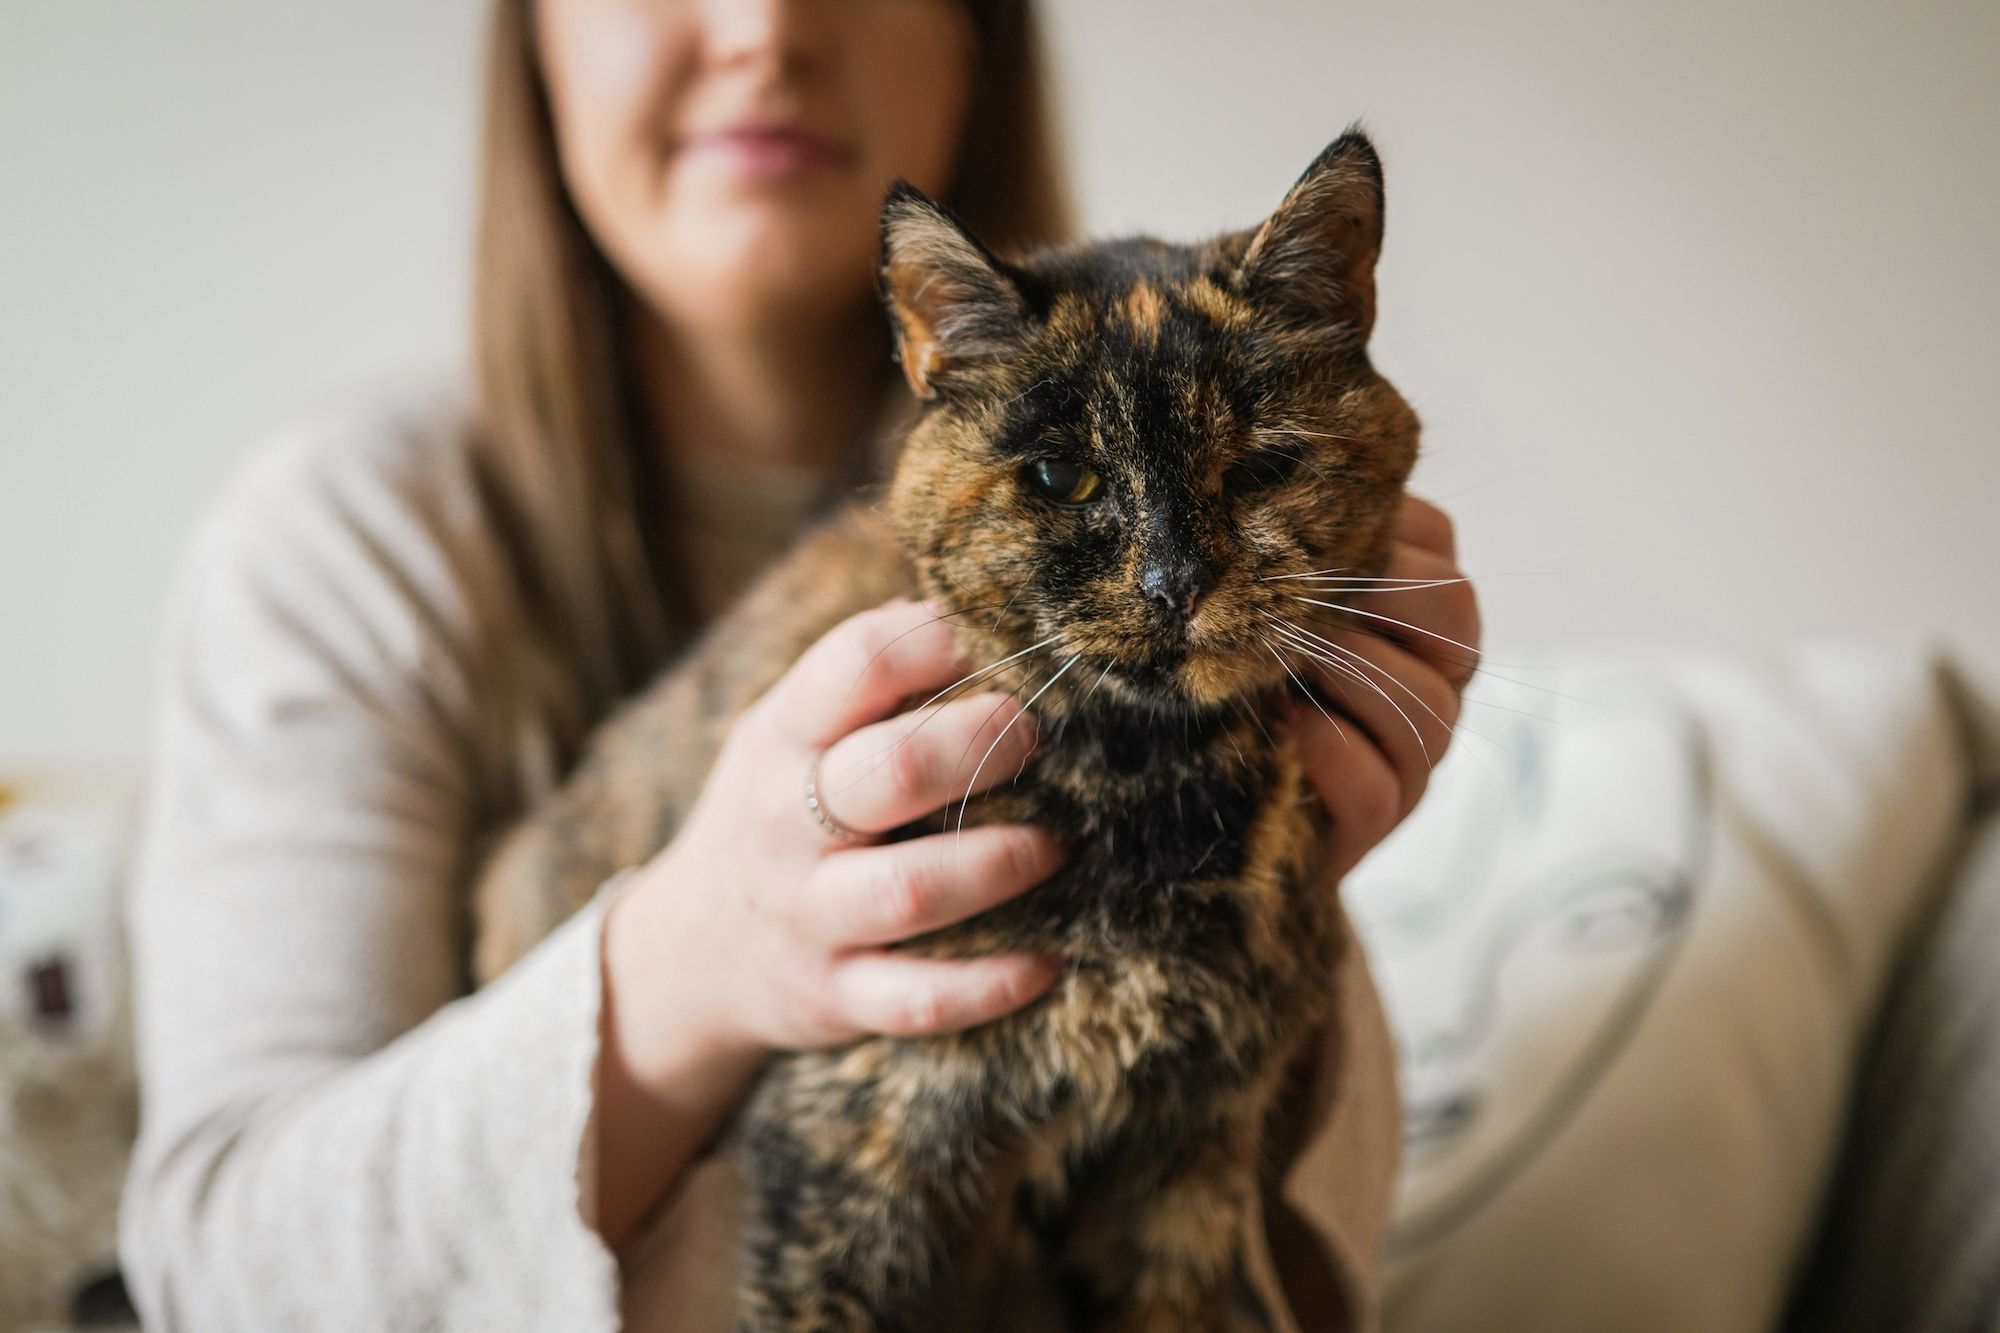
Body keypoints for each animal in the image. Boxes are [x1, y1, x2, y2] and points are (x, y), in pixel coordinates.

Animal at [474, 127, 1416, 1328]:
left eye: (1260, 465)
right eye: (1063, 474)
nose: (1174, 582)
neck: (1152, 791)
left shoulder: (1187, 1160)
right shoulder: (853, 1144)